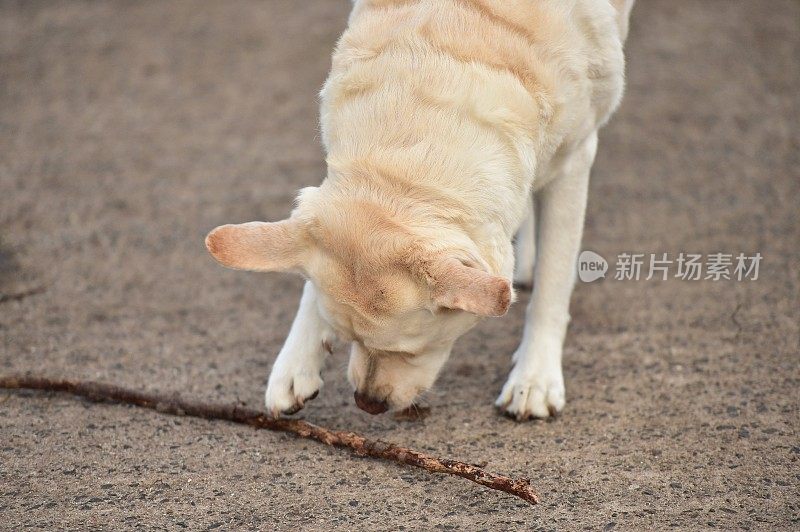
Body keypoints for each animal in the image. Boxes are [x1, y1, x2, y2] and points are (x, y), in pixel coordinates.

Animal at [209, 2, 636, 422]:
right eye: (348, 337)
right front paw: (296, 362)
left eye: (411, 350)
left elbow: (554, 280)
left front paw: (534, 378)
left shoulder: (575, 158)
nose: (368, 404)